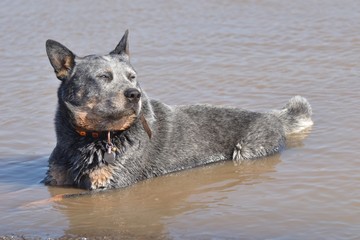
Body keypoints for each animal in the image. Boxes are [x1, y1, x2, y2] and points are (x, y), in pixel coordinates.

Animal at [43, 30, 312, 190]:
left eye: (132, 77)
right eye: (103, 77)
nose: (134, 94)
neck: (90, 139)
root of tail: (271, 115)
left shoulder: (110, 184)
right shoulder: (54, 180)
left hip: (247, 150)